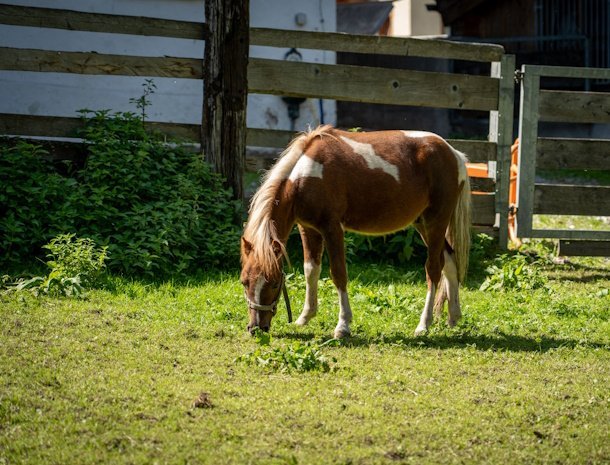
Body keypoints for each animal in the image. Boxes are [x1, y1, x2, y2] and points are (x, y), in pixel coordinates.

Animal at [239, 125, 470, 338]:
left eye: (274, 283)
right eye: (244, 281)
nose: (256, 328)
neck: (307, 177)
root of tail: (453, 153)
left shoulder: (332, 228)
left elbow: (338, 273)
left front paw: (343, 326)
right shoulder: (308, 228)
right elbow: (310, 270)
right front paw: (305, 317)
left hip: (436, 221)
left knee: (433, 269)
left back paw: (423, 324)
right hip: (422, 223)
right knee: (449, 261)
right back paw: (453, 317)